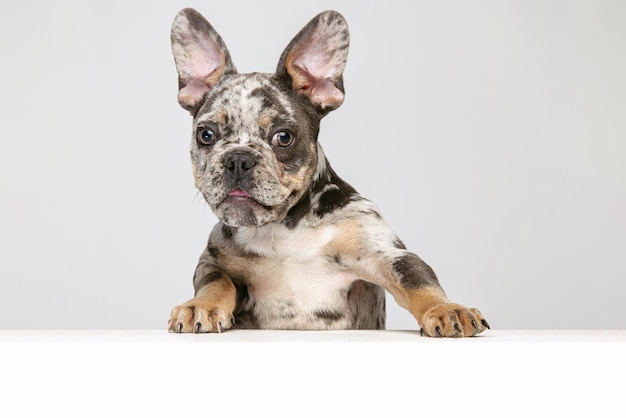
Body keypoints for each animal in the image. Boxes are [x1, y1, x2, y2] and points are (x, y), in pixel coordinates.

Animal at [166, 7, 488, 336]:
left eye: (284, 137)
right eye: (205, 135)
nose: (238, 159)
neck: (283, 230)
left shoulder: (387, 254)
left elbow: (417, 280)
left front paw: (445, 309)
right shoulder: (213, 261)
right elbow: (216, 282)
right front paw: (200, 306)